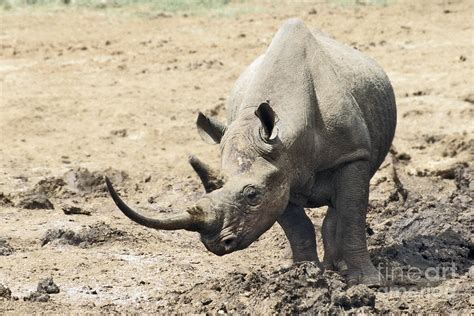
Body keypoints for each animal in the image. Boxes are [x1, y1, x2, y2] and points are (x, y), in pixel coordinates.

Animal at [106, 19, 396, 286]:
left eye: (251, 195)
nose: (216, 244)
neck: (288, 138)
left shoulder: (352, 156)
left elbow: (352, 216)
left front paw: (367, 282)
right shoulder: (279, 173)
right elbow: (297, 227)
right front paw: (306, 276)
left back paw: (340, 268)